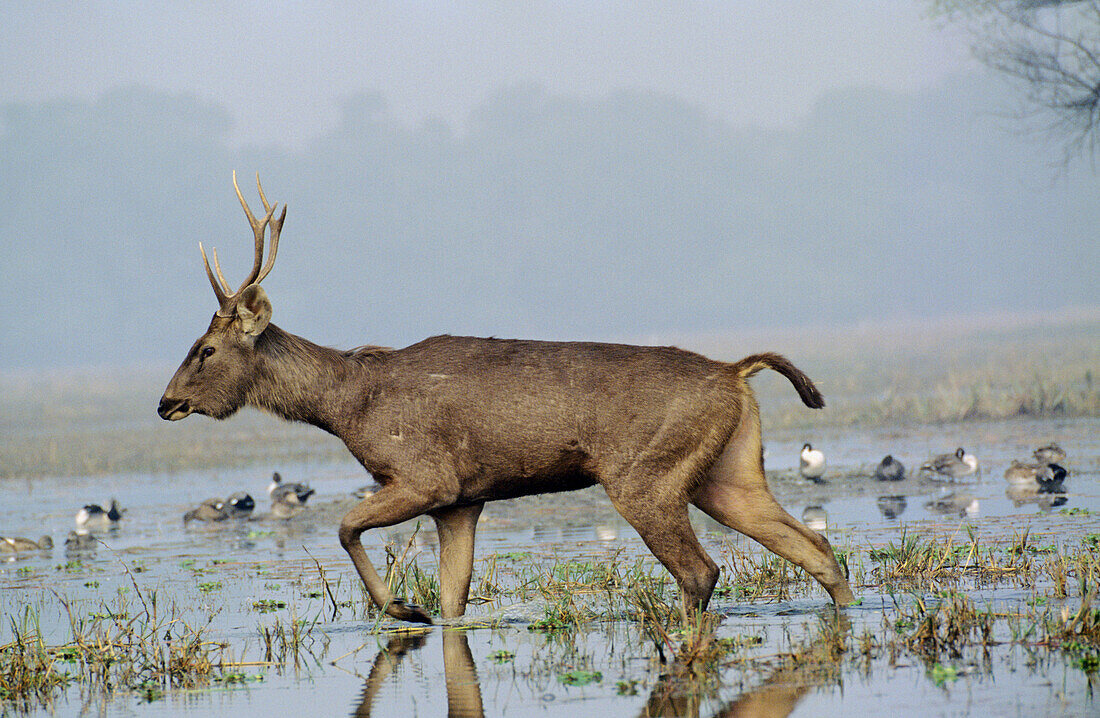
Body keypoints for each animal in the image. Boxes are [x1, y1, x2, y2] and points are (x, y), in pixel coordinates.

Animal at [159, 172, 853, 620]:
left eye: (207, 349)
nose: (166, 403)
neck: (347, 406)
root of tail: (736, 372)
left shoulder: (425, 476)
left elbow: (346, 527)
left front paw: (402, 609)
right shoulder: (462, 502)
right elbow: (455, 601)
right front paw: (420, 611)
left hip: (645, 475)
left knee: (702, 571)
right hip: (728, 472)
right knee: (816, 549)